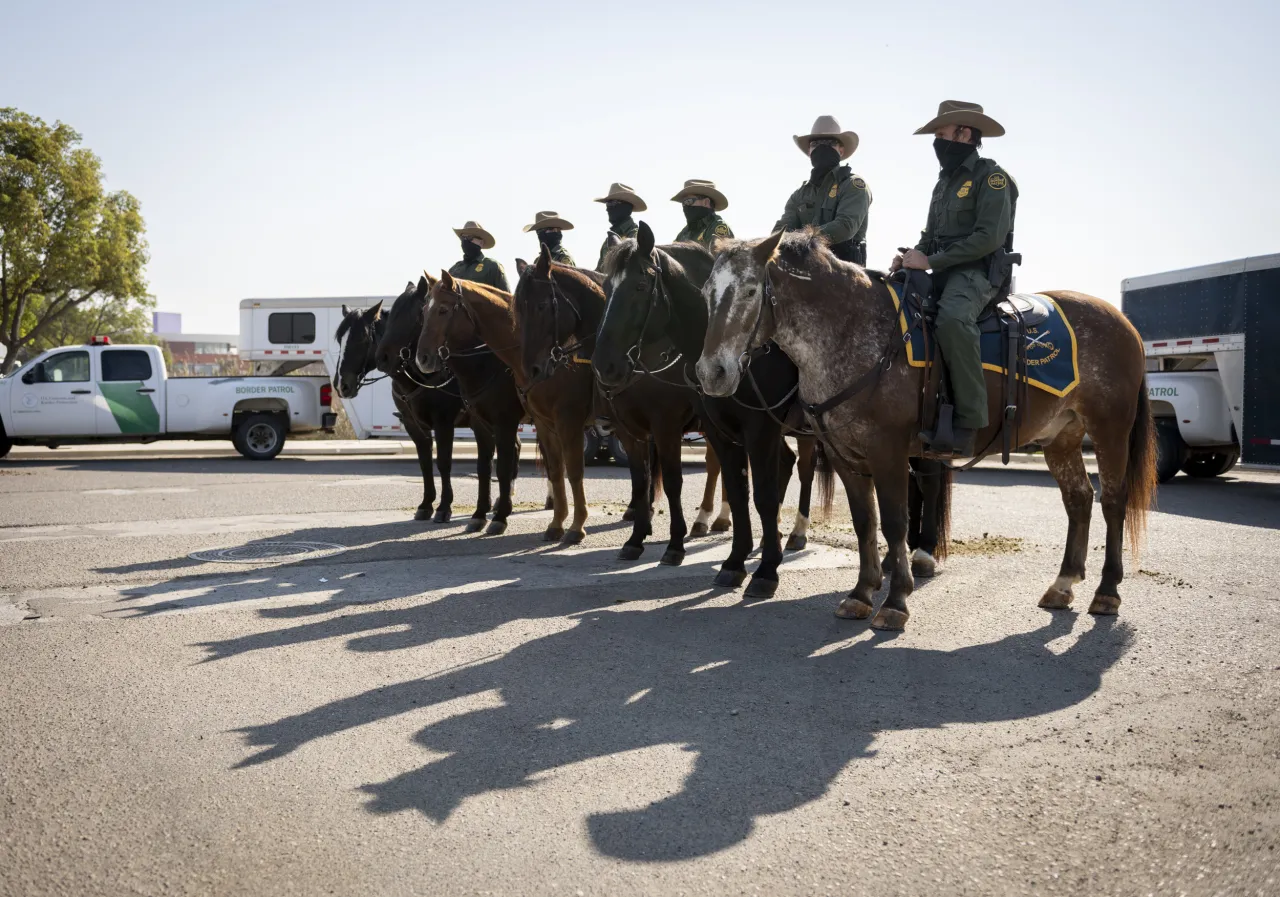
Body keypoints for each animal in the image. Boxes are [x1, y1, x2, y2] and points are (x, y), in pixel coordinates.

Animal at [599, 220, 829, 593]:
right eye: (605, 286)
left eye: (639, 285)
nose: (604, 364)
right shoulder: (715, 430)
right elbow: (734, 491)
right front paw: (736, 561)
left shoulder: (748, 428)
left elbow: (755, 493)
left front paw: (765, 570)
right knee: (786, 463)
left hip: (805, 430)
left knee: (806, 468)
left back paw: (796, 532)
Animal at [696, 230, 1157, 629]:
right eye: (706, 294)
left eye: (750, 291)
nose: (712, 372)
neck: (851, 332)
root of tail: (1124, 323)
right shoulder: (845, 456)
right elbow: (865, 522)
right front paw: (861, 594)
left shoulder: (887, 453)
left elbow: (895, 523)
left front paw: (896, 601)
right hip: (1060, 438)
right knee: (1078, 499)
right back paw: (1063, 584)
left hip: (1109, 430)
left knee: (1113, 501)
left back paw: (1107, 591)